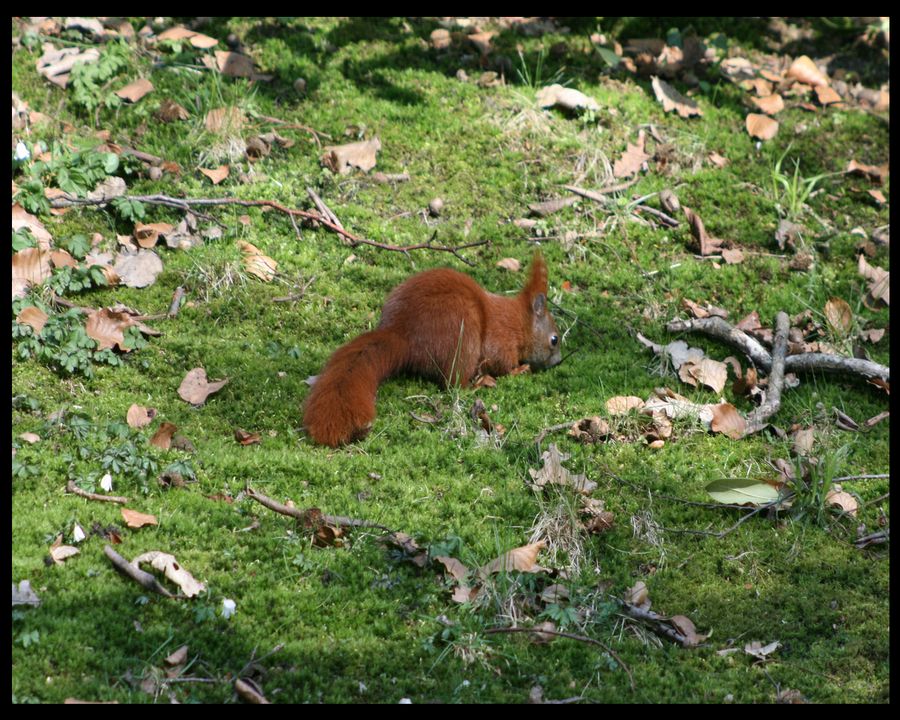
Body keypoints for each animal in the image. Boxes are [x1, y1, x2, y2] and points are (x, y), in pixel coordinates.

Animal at [302, 252, 564, 444]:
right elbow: (501, 363)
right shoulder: (501, 340)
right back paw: (479, 383)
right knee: (453, 383)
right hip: (462, 335)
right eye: (554, 339)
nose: (559, 362)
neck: (520, 323)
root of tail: (402, 335)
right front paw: (519, 370)